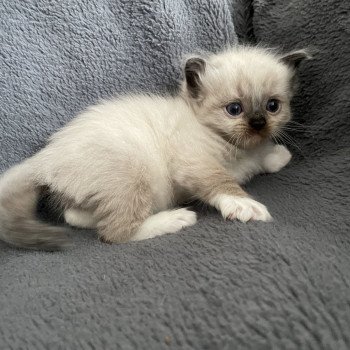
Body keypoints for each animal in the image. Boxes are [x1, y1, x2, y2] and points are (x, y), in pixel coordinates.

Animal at [0, 46, 312, 250]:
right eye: (234, 109)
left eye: (273, 106)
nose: (258, 123)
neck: (233, 146)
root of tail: (45, 157)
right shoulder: (194, 164)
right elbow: (220, 181)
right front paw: (244, 205)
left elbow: (260, 161)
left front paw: (277, 155)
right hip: (133, 173)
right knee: (114, 233)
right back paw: (176, 219)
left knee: (77, 217)